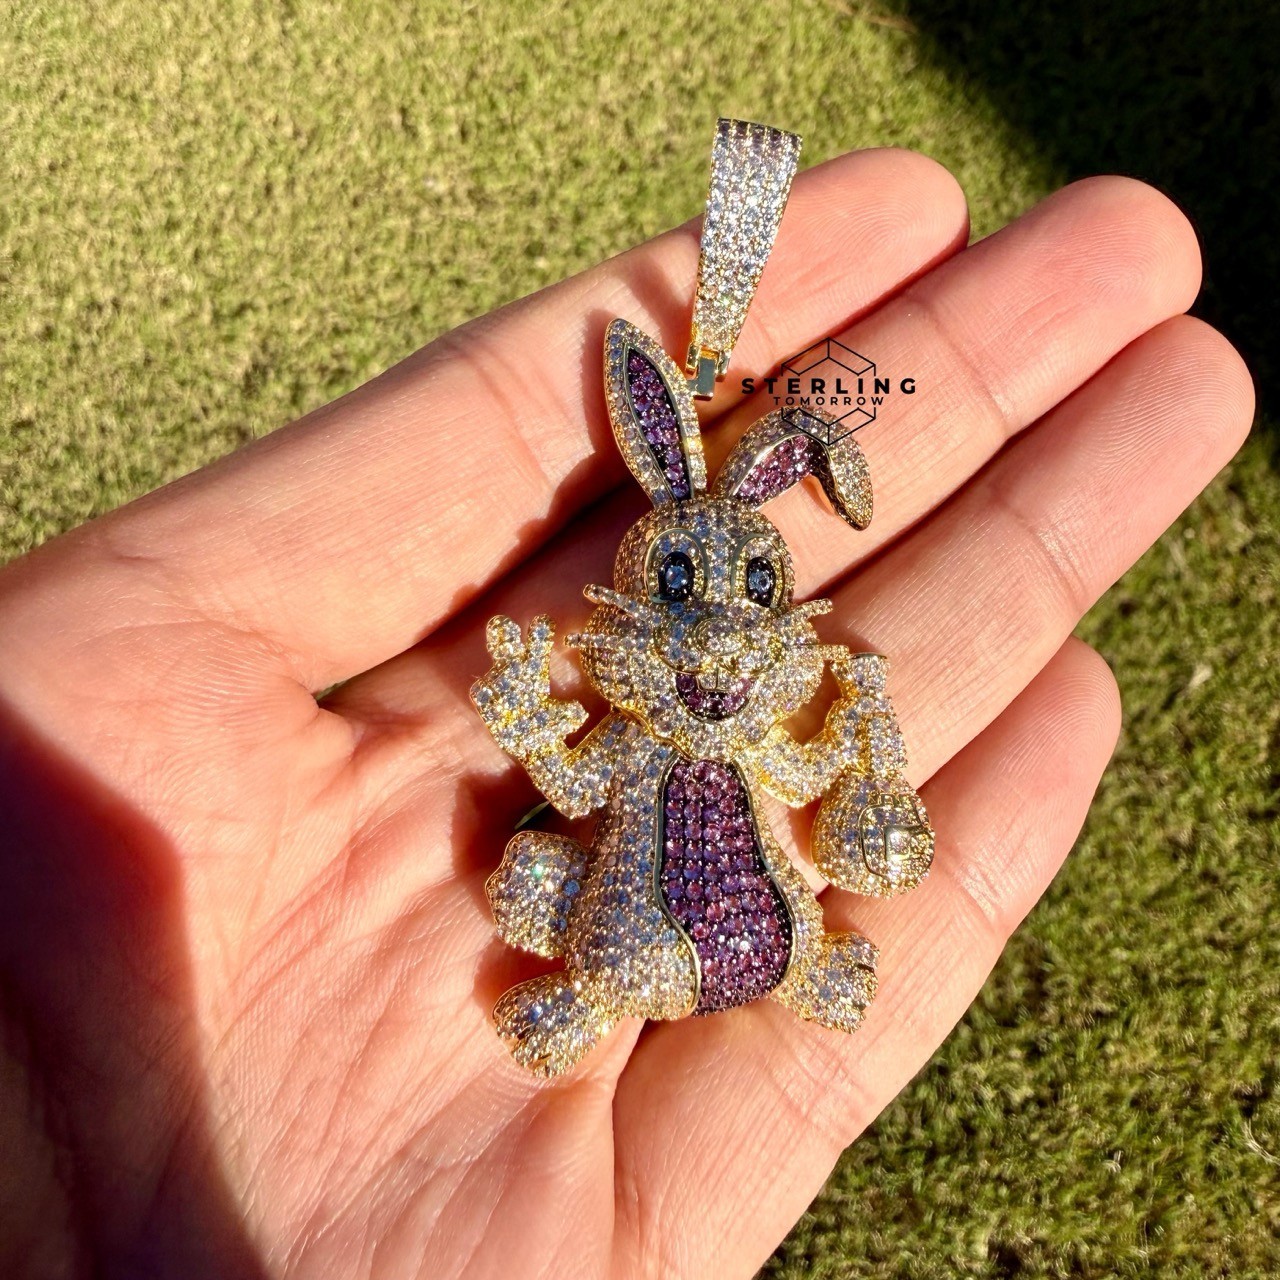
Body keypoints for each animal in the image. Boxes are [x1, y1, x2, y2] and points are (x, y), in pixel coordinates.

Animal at [470, 318, 935, 1076]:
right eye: (675, 577)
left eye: (761, 581)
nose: (723, 639)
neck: (703, 743)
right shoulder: (632, 739)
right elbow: (573, 789)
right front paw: (521, 695)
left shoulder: (756, 748)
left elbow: (802, 778)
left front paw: (859, 706)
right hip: (607, 945)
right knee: (546, 906)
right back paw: (544, 1023)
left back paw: (839, 981)